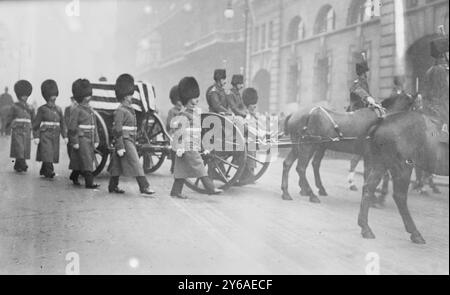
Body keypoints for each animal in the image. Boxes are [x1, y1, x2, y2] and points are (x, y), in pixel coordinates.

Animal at [282, 92, 418, 204]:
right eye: (416, 106)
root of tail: (294, 114)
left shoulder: (371, 156)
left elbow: (373, 175)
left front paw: (375, 197)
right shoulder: (372, 156)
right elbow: (371, 175)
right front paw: (375, 198)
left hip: (299, 146)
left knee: (288, 163)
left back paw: (287, 192)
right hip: (308, 146)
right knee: (301, 168)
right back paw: (311, 194)